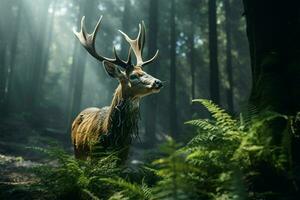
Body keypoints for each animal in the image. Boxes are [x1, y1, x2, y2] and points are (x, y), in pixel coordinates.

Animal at [71, 16, 163, 162]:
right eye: (133, 76)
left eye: (145, 72)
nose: (158, 82)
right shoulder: (93, 155)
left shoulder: (124, 157)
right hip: (77, 151)